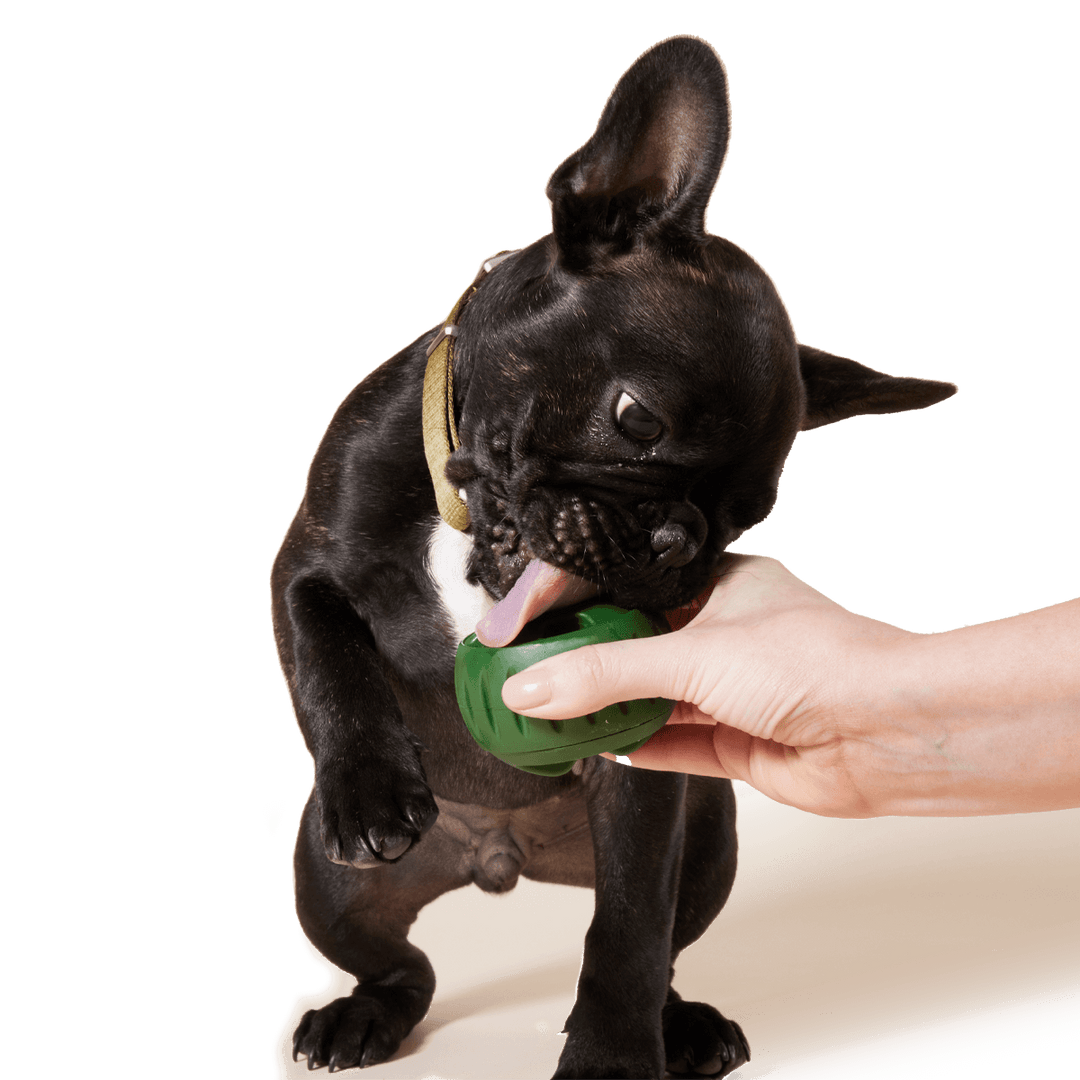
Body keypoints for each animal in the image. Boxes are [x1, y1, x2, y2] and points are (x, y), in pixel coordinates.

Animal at [270, 35, 954, 1080]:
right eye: (637, 419)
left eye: (744, 517)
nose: (676, 540)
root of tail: (498, 856)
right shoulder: (309, 560)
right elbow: (324, 656)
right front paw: (368, 784)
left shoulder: (644, 808)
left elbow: (627, 933)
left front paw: (613, 1055)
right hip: (327, 886)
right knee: (398, 964)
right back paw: (361, 1013)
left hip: (708, 848)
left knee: (661, 942)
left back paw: (684, 1024)